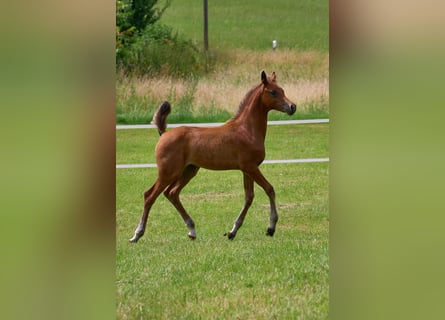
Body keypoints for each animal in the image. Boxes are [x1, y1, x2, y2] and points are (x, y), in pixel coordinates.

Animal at [128, 70, 294, 242]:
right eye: (273, 92)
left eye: (282, 90)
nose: (292, 107)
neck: (247, 130)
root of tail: (164, 133)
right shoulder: (251, 167)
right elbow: (269, 189)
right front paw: (271, 228)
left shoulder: (247, 170)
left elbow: (249, 197)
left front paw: (232, 231)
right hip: (168, 172)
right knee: (150, 195)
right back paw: (137, 234)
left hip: (188, 170)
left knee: (171, 193)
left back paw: (192, 230)